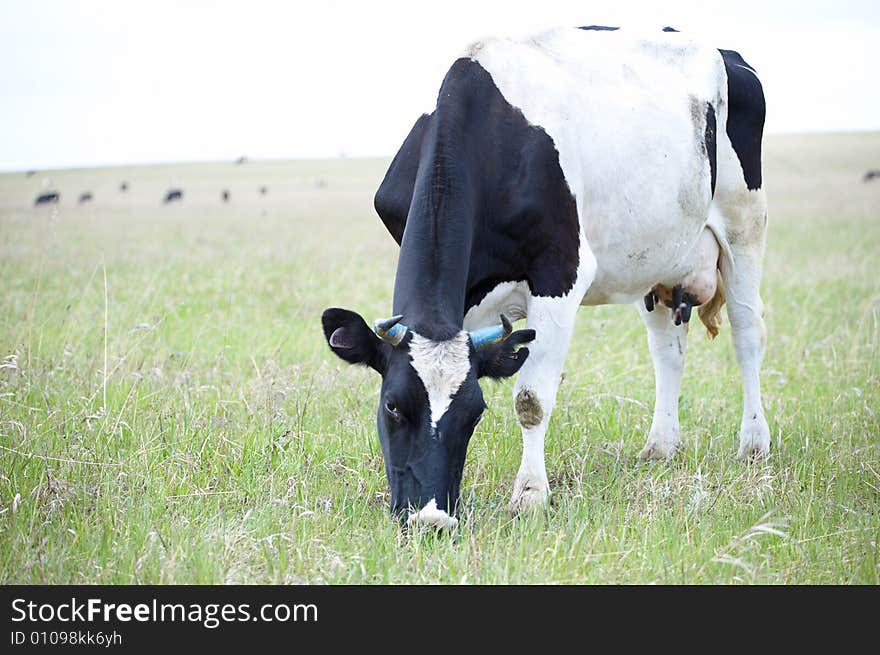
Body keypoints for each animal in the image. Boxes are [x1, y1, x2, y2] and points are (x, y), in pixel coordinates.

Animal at [320, 25, 768, 528]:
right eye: (392, 406)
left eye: (474, 414)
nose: (432, 518)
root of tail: (726, 53)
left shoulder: (560, 271)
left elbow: (531, 398)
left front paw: (530, 494)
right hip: (657, 261)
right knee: (667, 350)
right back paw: (660, 446)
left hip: (745, 224)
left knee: (747, 333)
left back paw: (753, 443)